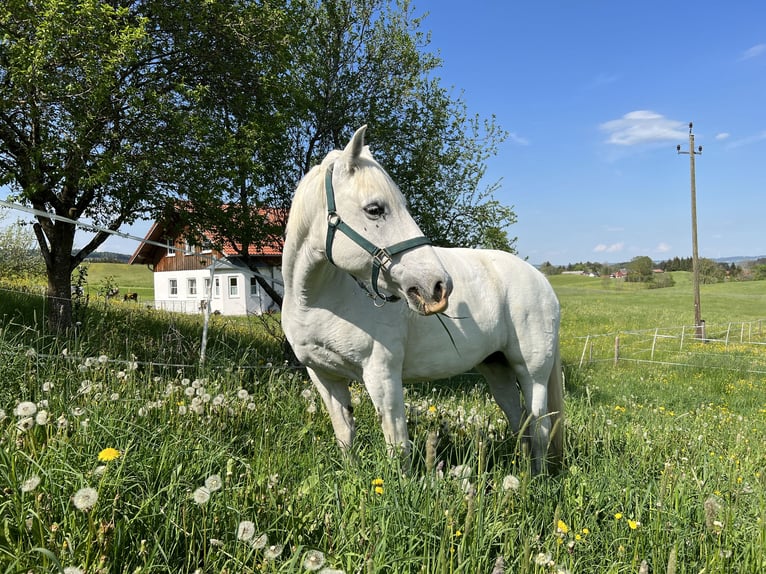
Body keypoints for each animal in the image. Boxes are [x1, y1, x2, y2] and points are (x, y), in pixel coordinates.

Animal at [282, 128, 564, 474]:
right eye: (375, 209)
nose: (440, 286)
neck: (316, 301)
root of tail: (541, 280)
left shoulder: (382, 374)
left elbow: (397, 443)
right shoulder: (324, 377)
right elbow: (345, 435)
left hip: (531, 373)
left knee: (540, 427)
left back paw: (536, 480)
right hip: (497, 369)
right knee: (520, 422)